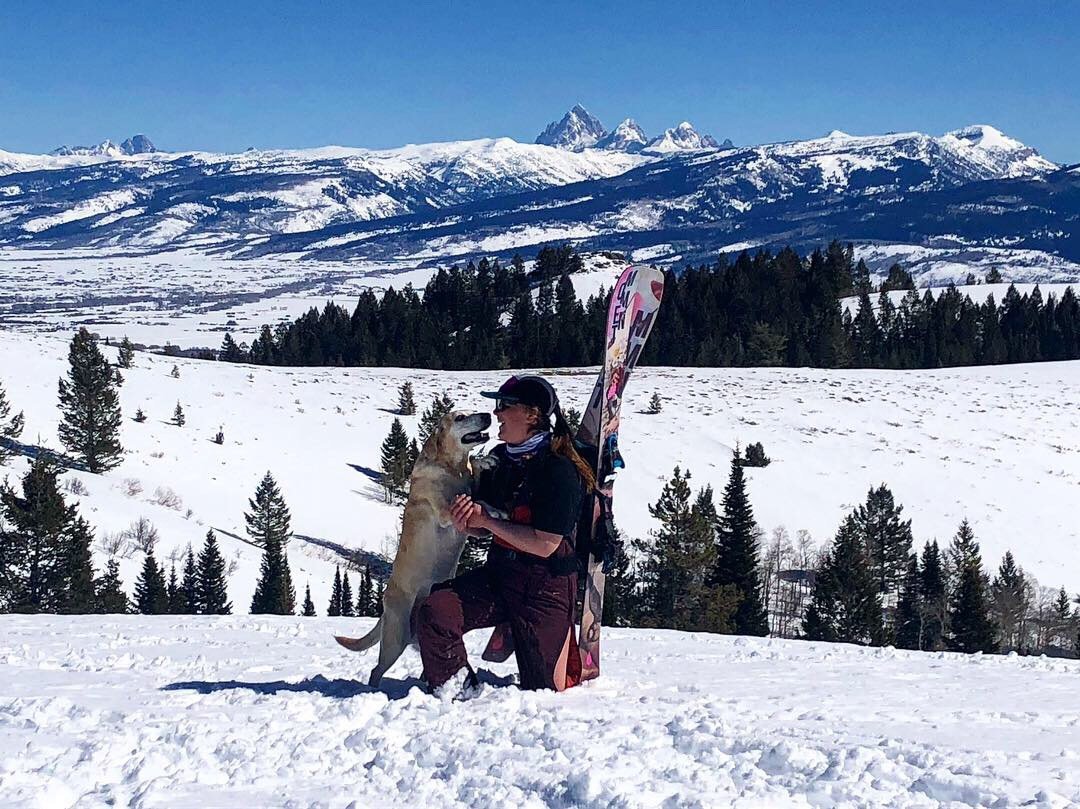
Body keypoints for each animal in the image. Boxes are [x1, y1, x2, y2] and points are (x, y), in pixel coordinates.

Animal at [332, 412, 494, 686]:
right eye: (460, 416)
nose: (487, 415)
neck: (454, 469)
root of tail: (385, 607)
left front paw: (484, 461)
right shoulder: (445, 512)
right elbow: (466, 506)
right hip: (396, 638)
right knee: (376, 671)